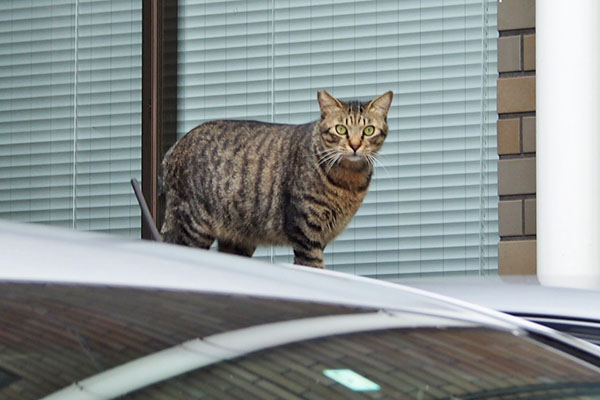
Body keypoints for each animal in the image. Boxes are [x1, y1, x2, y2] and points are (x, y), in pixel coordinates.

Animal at [159, 89, 394, 268]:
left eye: (368, 130)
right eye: (341, 129)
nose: (355, 145)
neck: (349, 181)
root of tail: (174, 148)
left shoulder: (322, 235)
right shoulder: (305, 229)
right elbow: (313, 265)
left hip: (237, 238)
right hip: (191, 227)